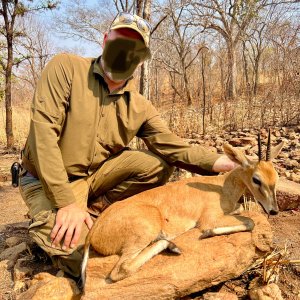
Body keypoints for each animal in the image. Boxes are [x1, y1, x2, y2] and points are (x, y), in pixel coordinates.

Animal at [81, 132, 284, 284]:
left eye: (275, 176)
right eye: (256, 179)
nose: (273, 210)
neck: (222, 187)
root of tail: (93, 230)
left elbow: (242, 211)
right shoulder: (209, 219)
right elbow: (249, 222)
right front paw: (206, 233)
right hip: (144, 232)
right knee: (121, 270)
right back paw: (172, 245)